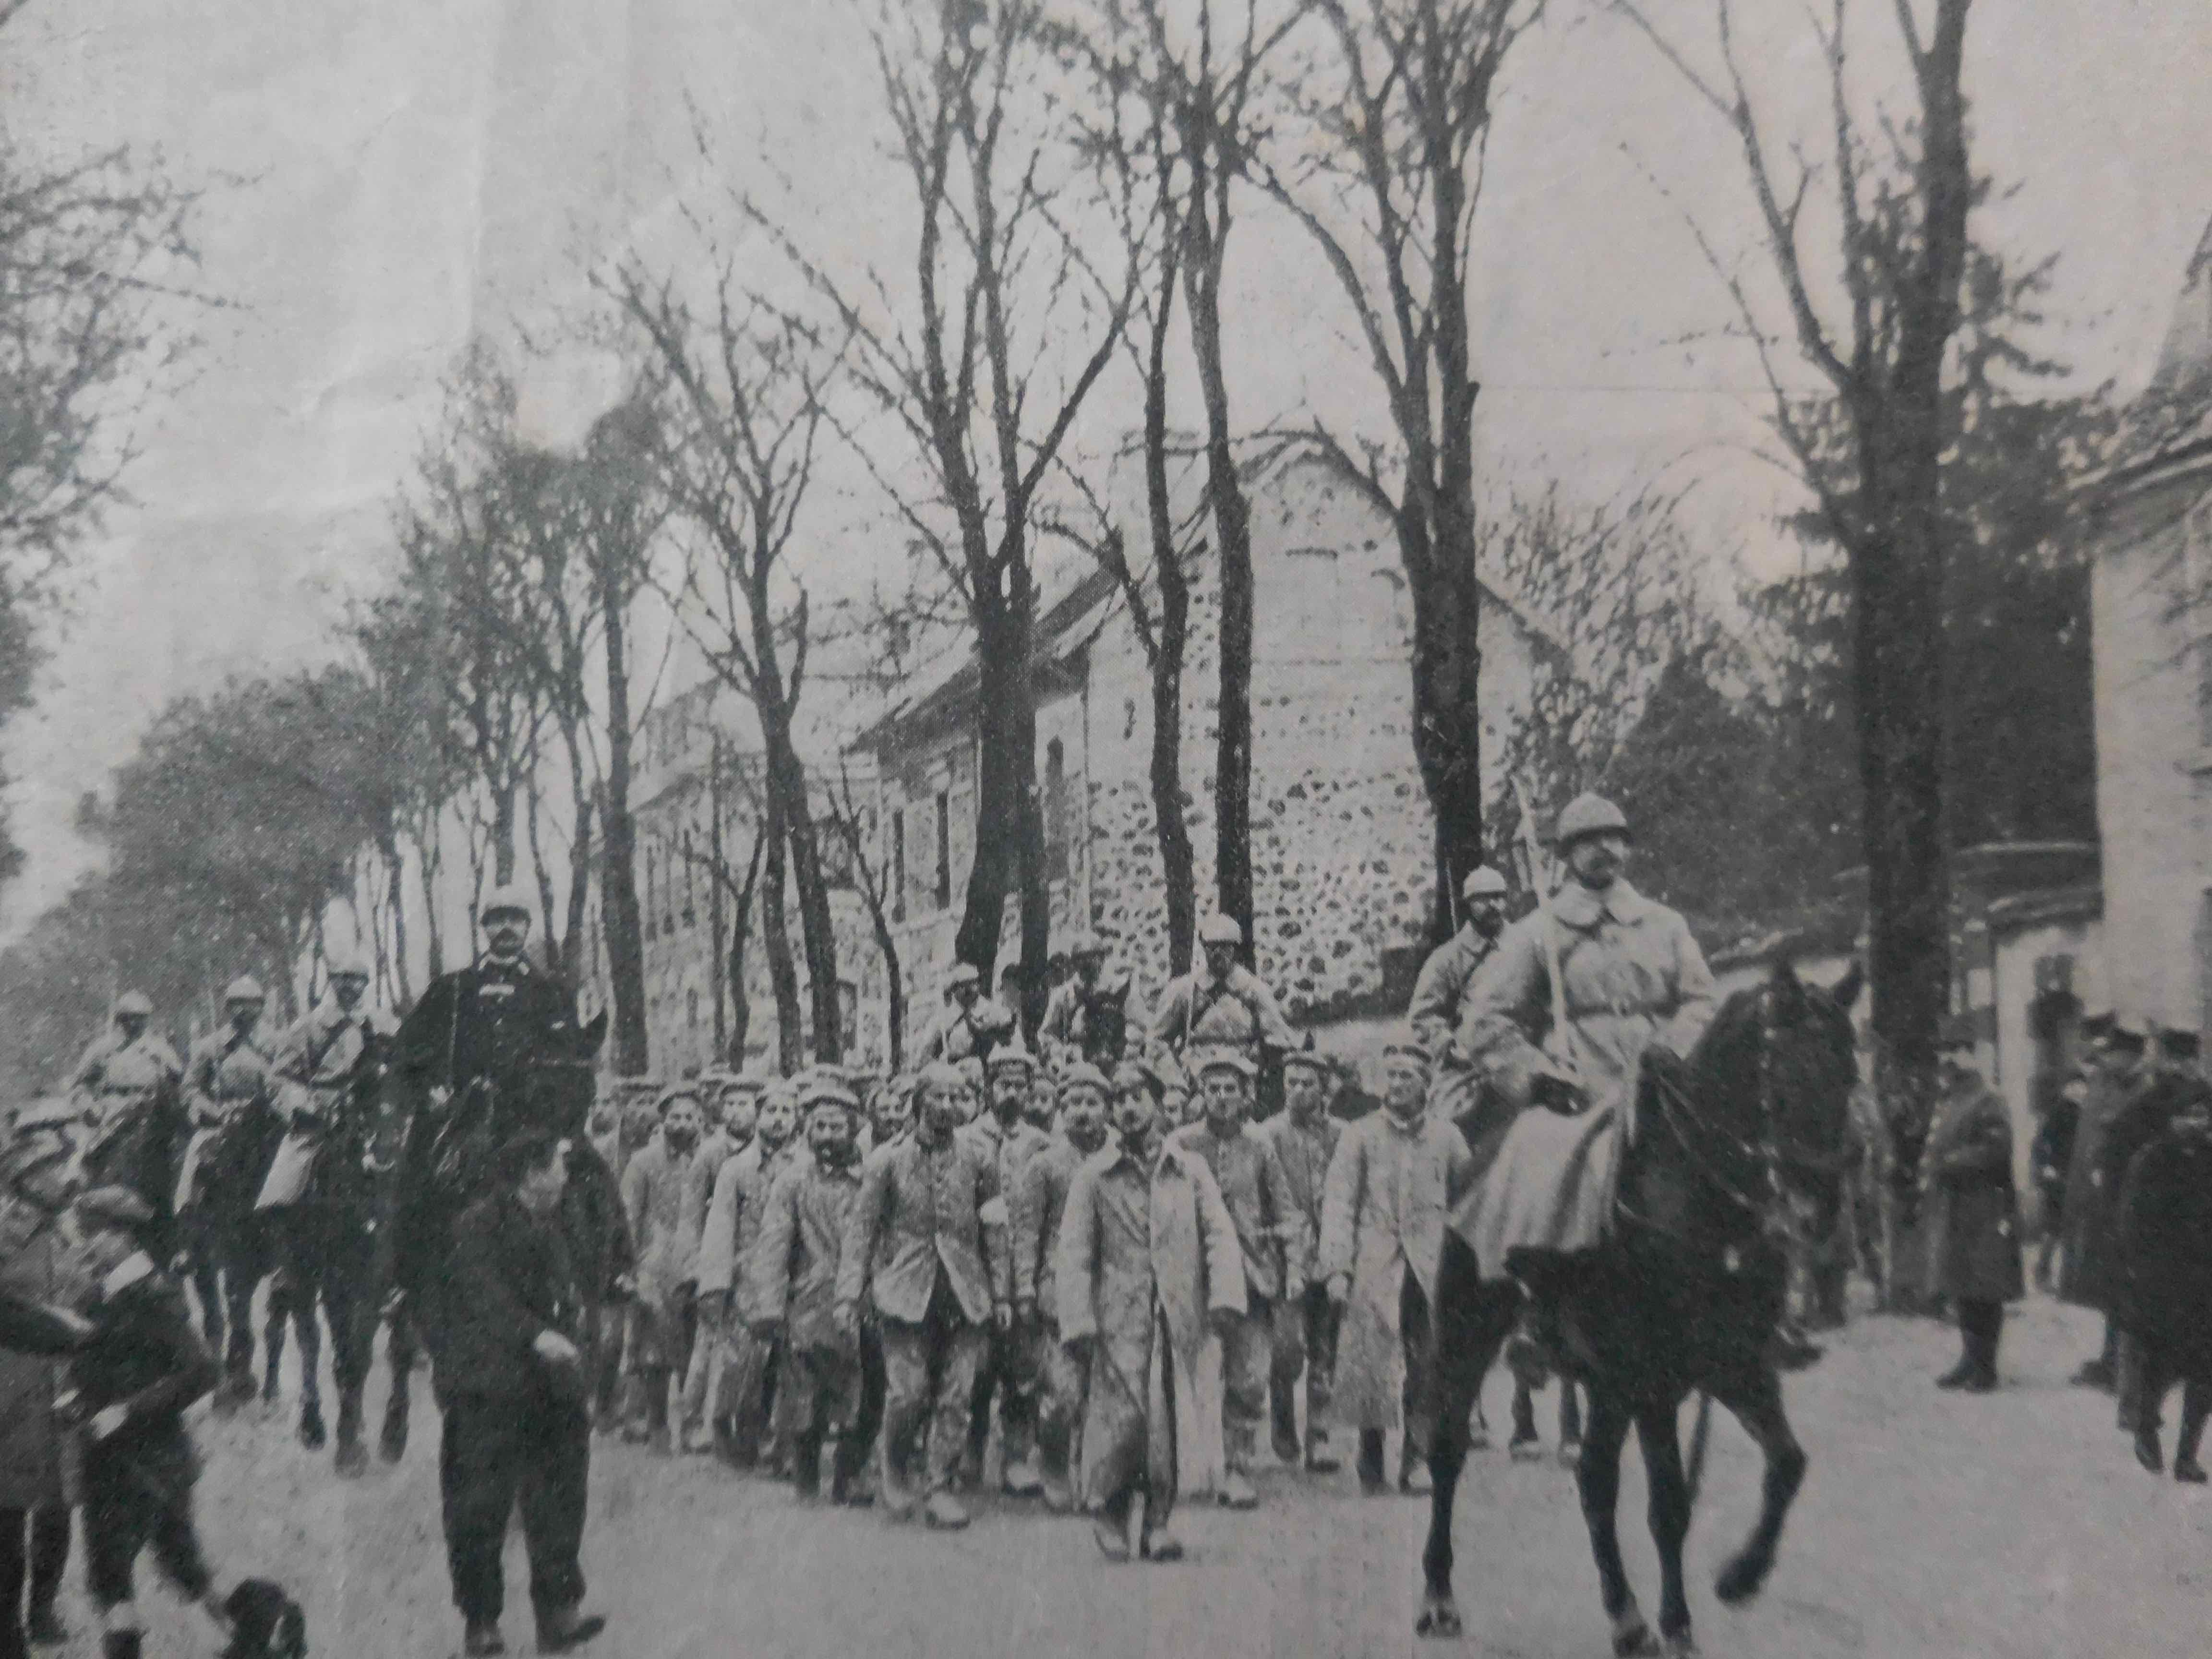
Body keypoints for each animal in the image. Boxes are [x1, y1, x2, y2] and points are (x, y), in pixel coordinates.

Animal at [1417, 956, 1862, 1656]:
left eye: (1849, 1071)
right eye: (1783, 1076)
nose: (1816, 1212)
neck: (1698, 1205)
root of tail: (1478, 1155)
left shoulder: (1737, 1367)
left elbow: (1788, 1463)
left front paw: (1739, 1576)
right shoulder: (1649, 1382)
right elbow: (1669, 1505)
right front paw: (1675, 1621)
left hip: (1606, 1386)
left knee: (1594, 1478)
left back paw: (1626, 1613)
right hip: (1471, 1335)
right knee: (1451, 1449)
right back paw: (1444, 1598)